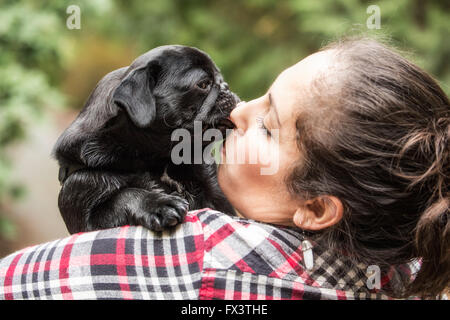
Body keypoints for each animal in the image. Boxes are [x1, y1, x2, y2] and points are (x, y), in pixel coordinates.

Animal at [52, 45, 239, 234]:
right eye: (203, 84)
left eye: (221, 80)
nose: (226, 86)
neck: (159, 158)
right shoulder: (84, 209)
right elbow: (125, 195)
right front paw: (159, 204)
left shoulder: (214, 192)